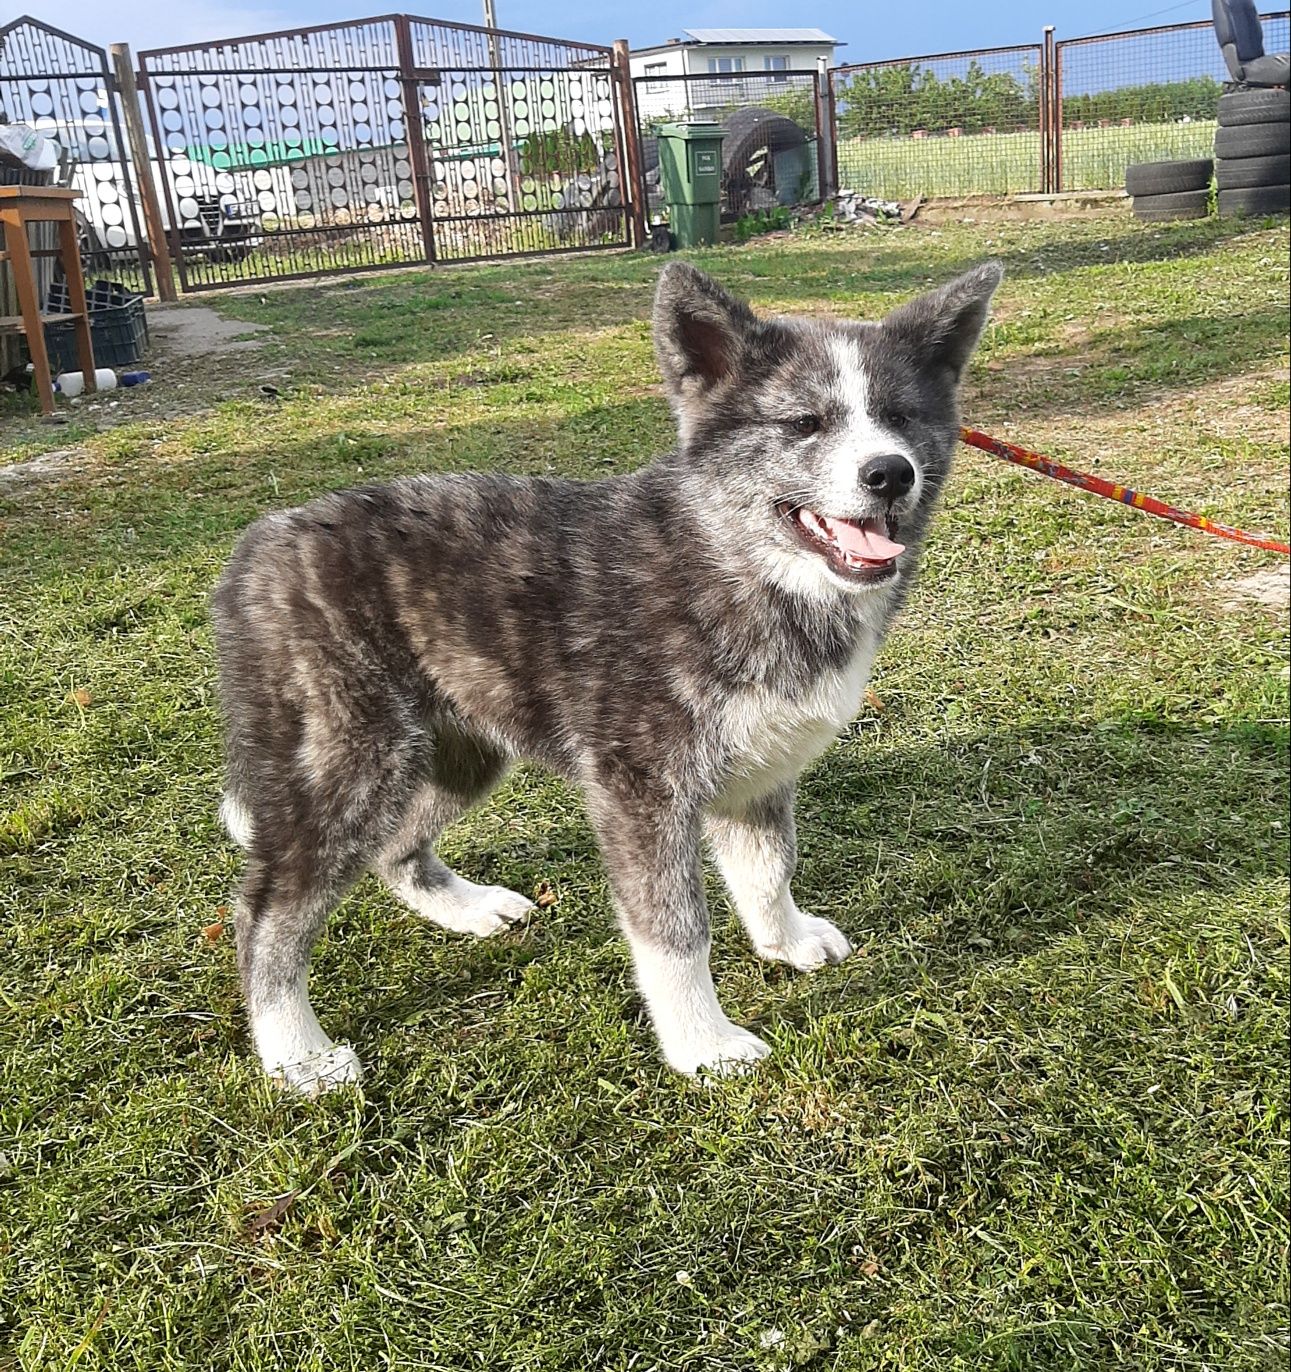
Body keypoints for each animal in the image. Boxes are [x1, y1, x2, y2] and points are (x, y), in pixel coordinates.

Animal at [208, 257, 998, 1092]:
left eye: (901, 416)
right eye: (804, 424)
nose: (889, 473)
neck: (734, 557)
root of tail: (258, 545)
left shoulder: (758, 769)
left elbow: (767, 867)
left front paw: (782, 941)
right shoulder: (642, 792)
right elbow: (674, 929)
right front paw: (701, 1045)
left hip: (459, 750)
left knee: (396, 849)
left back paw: (465, 909)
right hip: (351, 763)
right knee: (265, 909)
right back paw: (293, 1051)